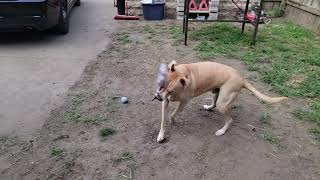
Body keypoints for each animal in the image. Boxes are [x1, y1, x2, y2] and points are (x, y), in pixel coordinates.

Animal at [157, 61, 288, 143]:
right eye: (162, 84)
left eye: (171, 90)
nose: (158, 97)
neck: (184, 74)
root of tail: (242, 79)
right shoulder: (165, 102)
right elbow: (163, 120)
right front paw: (161, 135)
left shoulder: (183, 102)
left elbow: (173, 113)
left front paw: (172, 120)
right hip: (216, 93)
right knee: (214, 104)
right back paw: (208, 107)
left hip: (222, 103)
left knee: (229, 119)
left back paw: (222, 131)